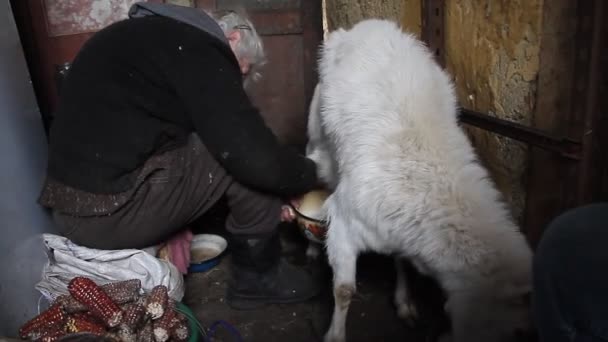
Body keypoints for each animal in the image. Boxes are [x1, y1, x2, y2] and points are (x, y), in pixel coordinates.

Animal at [306, 19, 536, 342]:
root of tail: (366, 27)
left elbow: (401, 261)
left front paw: (405, 302)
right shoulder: (344, 224)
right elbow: (343, 291)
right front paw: (335, 335)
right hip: (317, 136)